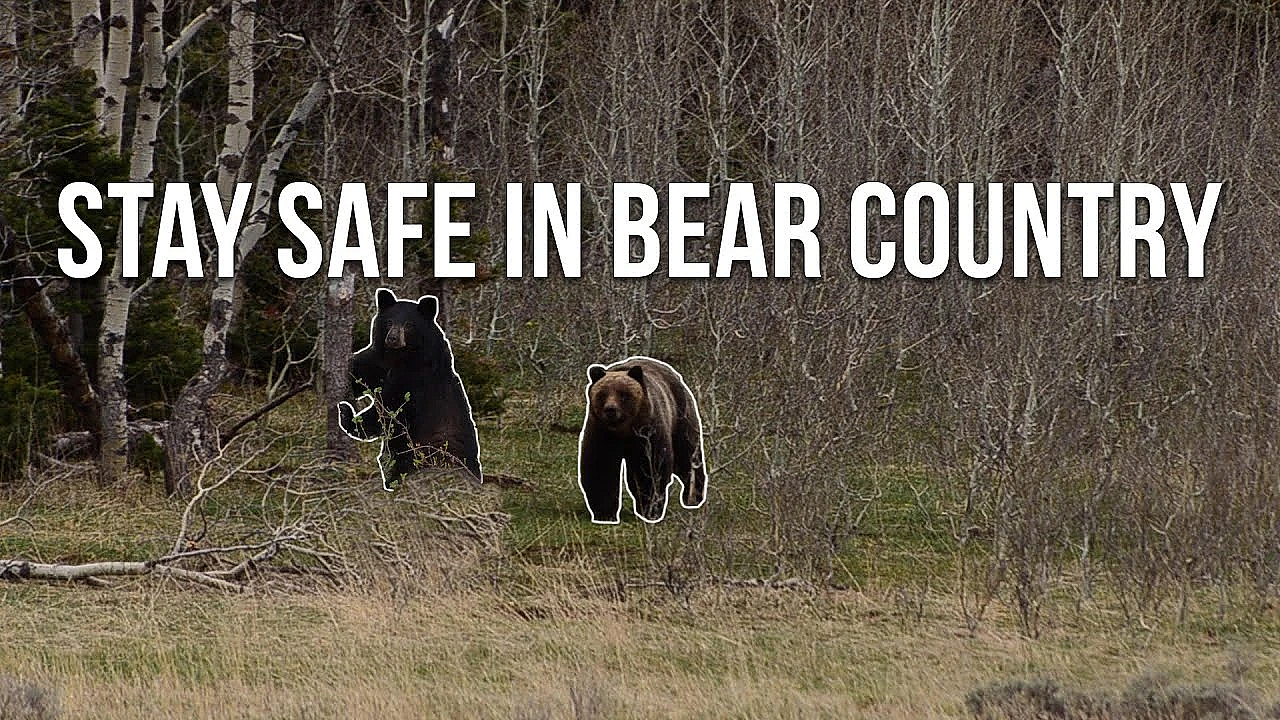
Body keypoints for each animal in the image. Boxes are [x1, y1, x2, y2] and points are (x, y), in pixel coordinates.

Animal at [337, 288, 482, 490]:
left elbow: (390, 409)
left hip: (432, 448)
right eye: (389, 321)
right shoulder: (380, 362)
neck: (400, 357)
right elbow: (362, 371)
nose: (393, 338)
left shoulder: (417, 378)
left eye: (409, 324)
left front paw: (347, 414)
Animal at [576, 356, 708, 524]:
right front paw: (605, 514)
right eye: (602, 394)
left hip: (681, 416)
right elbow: (601, 468)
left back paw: (694, 497)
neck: (623, 431)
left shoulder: (648, 433)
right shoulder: (601, 433)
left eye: (624, 395)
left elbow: (651, 469)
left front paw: (650, 509)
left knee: (687, 456)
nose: (610, 410)